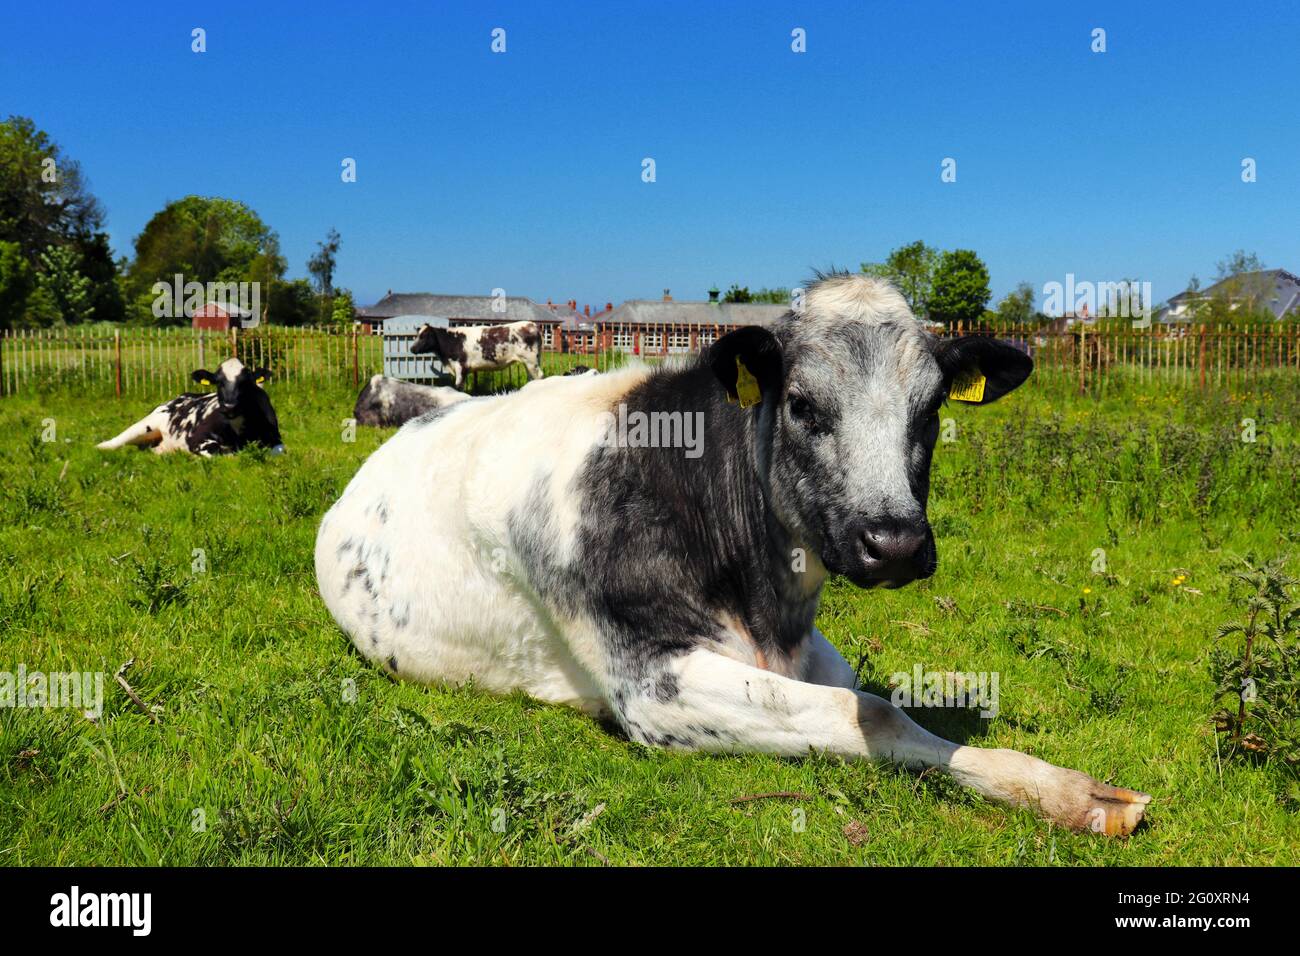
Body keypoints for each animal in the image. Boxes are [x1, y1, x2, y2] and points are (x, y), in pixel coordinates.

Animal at [97, 357, 285, 457]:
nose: (229, 407)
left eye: (245, 382)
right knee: (114, 443)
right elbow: (224, 452)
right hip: (144, 425)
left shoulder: (277, 440)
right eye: (218, 382)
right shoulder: (197, 439)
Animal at [409, 320, 543, 389]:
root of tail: (532, 324)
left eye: (424, 336)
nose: (412, 348)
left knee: (539, 376)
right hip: (528, 362)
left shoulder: (460, 366)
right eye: (418, 335)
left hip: (531, 361)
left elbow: (458, 386)